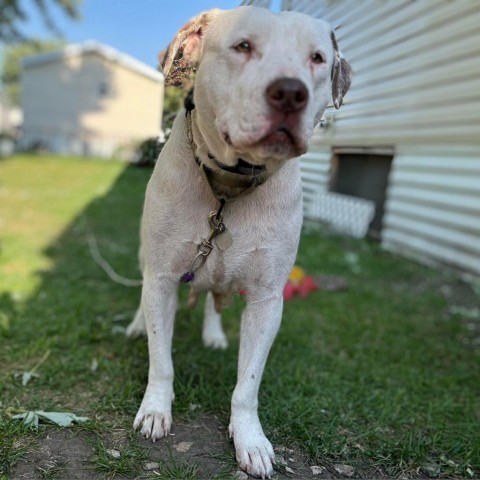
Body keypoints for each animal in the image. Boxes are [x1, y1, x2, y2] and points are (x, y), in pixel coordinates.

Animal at [126, 5, 352, 478]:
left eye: (317, 58)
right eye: (243, 46)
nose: (290, 92)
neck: (229, 184)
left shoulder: (267, 300)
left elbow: (247, 384)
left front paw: (250, 439)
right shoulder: (162, 276)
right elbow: (161, 359)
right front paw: (155, 409)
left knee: (214, 298)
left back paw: (213, 333)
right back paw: (137, 325)